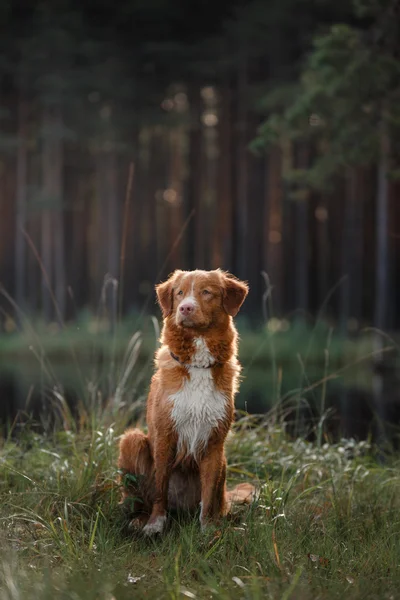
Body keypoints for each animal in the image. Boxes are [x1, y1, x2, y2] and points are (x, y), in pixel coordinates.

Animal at [119, 268, 255, 536]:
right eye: (179, 293)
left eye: (206, 292)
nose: (185, 308)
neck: (198, 365)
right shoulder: (165, 435)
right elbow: (160, 488)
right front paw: (155, 525)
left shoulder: (214, 441)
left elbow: (208, 495)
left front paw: (208, 529)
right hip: (132, 440)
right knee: (139, 499)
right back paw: (139, 520)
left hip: (223, 461)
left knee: (216, 501)